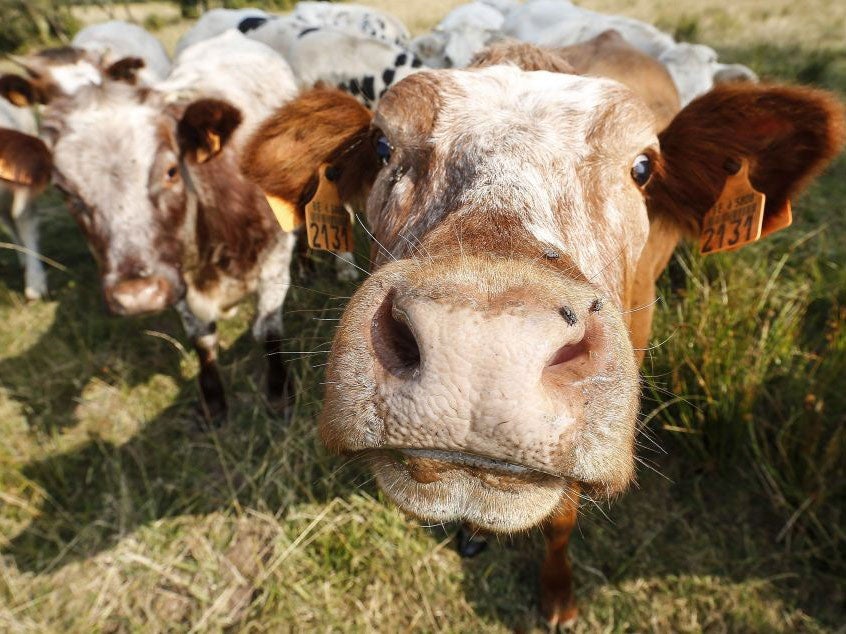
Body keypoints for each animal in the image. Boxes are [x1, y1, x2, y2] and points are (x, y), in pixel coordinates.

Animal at [0, 33, 302, 420]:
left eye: (171, 171)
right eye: (64, 190)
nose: (138, 295)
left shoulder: (276, 260)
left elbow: (267, 329)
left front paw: (279, 394)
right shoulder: (175, 275)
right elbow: (202, 338)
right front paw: (213, 402)